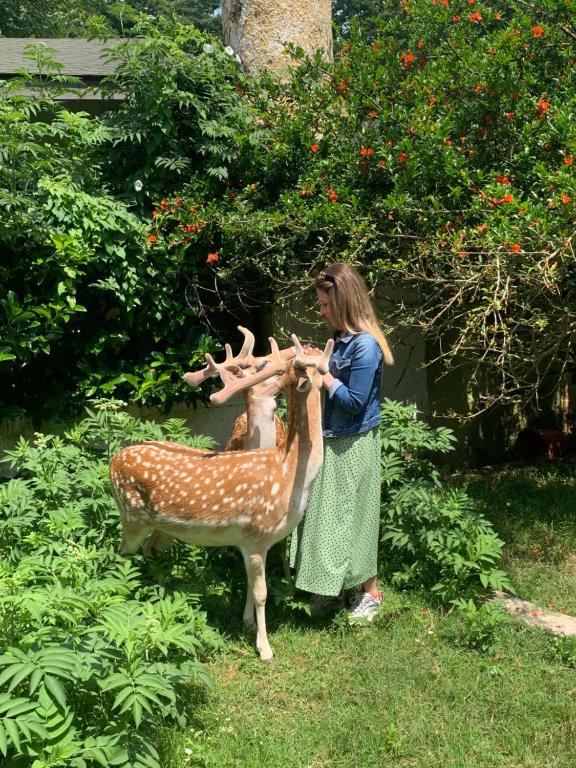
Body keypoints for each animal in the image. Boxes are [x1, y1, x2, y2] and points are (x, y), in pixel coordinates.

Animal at [108, 334, 332, 660]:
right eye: (312, 361)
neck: (289, 473)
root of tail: (112, 461)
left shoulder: (250, 542)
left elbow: (251, 584)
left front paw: (248, 623)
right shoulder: (256, 535)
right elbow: (262, 592)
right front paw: (265, 649)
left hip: (163, 527)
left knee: (149, 550)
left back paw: (165, 588)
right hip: (131, 516)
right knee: (122, 553)